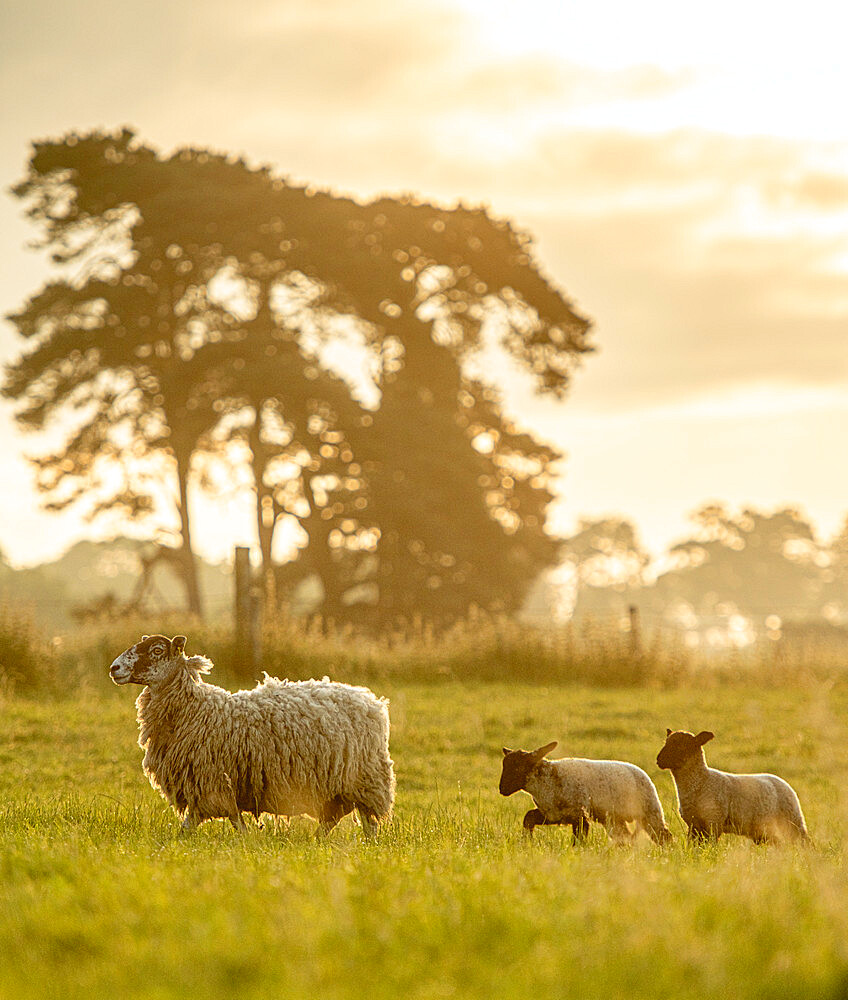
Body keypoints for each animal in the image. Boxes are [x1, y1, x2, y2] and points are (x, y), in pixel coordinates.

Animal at [108, 632, 394, 836]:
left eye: (157, 651)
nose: (114, 668)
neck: (195, 709)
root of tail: (372, 701)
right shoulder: (215, 786)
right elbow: (210, 824)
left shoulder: (211, 783)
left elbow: (200, 824)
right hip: (341, 786)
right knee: (333, 818)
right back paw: (317, 841)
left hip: (365, 779)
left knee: (369, 822)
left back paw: (367, 845)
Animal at [496, 744, 668, 844]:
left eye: (518, 767)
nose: (502, 789)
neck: (547, 779)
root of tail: (642, 774)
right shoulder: (552, 814)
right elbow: (528, 818)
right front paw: (528, 842)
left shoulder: (580, 815)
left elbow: (579, 841)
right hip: (614, 819)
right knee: (624, 838)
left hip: (650, 812)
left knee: (664, 837)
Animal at [656, 728, 808, 844]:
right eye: (666, 742)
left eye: (682, 745)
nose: (659, 760)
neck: (701, 781)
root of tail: (784, 783)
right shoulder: (693, 826)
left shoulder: (714, 822)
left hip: (793, 820)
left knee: (805, 843)